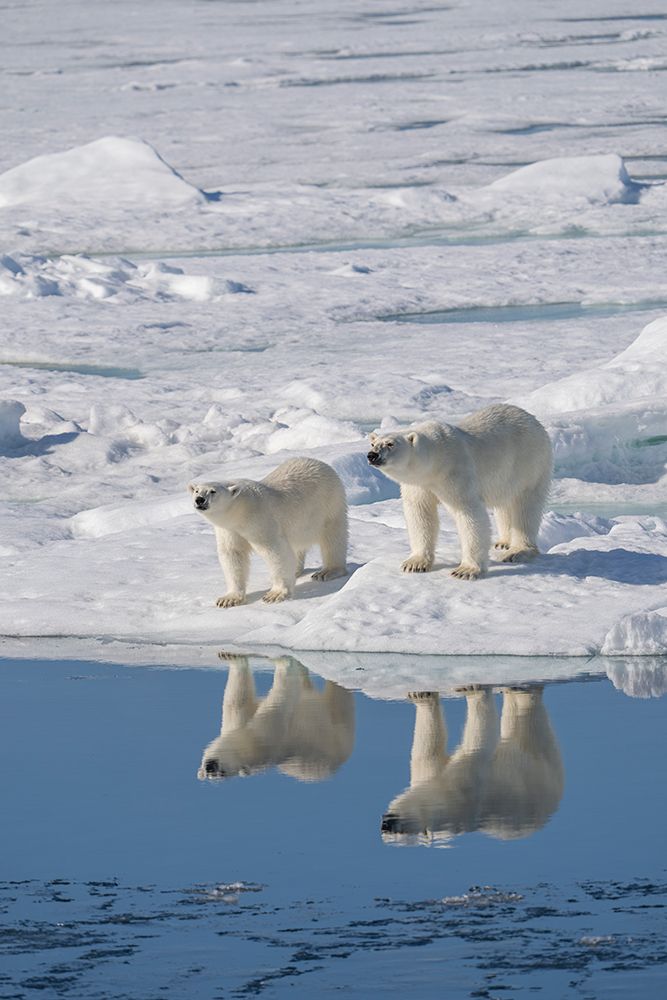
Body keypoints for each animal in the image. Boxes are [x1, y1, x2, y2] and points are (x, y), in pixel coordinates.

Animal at [189, 457, 348, 606]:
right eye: (197, 490)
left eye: (213, 491)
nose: (200, 499)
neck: (240, 511)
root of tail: (322, 464)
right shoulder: (229, 530)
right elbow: (233, 555)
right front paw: (228, 599)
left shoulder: (260, 520)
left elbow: (275, 552)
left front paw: (275, 594)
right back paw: (296, 571)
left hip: (329, 505)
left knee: (333, 538)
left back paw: (328, 571)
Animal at [198, 653, 355, 782]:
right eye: (208, 775)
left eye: (222, 773)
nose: (210, 767)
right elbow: (237, 702)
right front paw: (230, 656)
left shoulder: (270, 736)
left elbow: (278, 701)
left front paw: (281, 661)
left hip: (336, 736)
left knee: (339, 700)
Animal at [367, 403, 552, 580]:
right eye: (373, 444)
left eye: (390, 444)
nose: (372, 455)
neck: (435, 457)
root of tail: (533, 420)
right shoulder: (418, 484)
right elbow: (420, 514)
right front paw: (414, 563)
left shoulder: (454, 472)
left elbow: (469, 513)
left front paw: (466, 570)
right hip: (507, 475)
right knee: (504, 503)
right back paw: (503, 542)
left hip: (530, 462)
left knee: (525, 506)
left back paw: (518, 551)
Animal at [380, 686, 563, 845]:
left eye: (401, 833)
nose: (386, 825)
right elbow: (427, 752)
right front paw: (420, 695)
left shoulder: (470, 787)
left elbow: (479, 741)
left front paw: (472, 689)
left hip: (537, 769)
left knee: (530, 713)